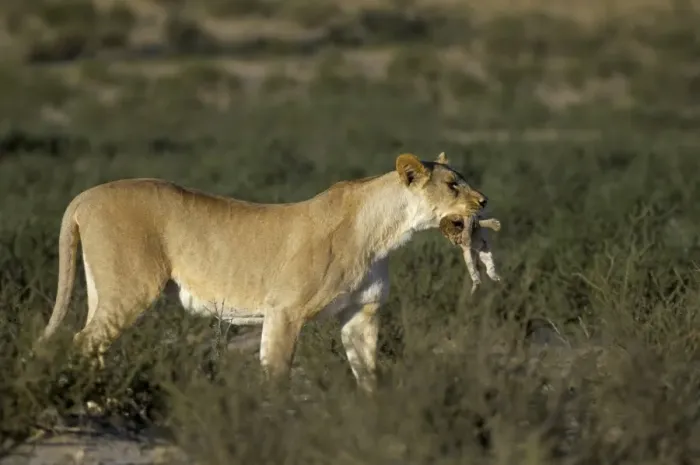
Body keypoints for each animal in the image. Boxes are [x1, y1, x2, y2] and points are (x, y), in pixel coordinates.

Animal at [37, 151, 487, 393]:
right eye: (452, 185)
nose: (483, 201)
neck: (384, 233)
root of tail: (85, 195)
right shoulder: (285, 310)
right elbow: (277, 372)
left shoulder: (362, 313)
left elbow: (368, 373)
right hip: (131, 288)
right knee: (83, 340)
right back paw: (92, 397)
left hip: (105, 289)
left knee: (93, 341)